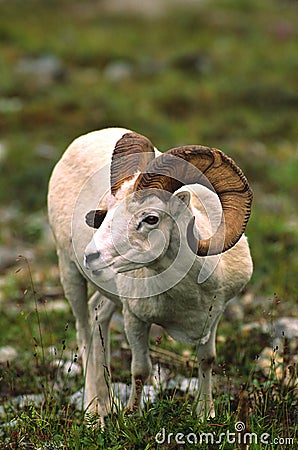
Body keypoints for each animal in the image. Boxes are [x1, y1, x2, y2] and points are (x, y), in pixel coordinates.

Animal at [47, 126, 253, 422]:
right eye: (107, 211)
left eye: (151, 218)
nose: (91, 256)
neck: (188, 296)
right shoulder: (134, 320)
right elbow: (140, 370)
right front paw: (132, 416)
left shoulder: (213, 316)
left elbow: (207, 359)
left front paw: (205, 414)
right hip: (69, 273)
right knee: (84, 334)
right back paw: (93, 413)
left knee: (98, 318)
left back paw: (108, 405)